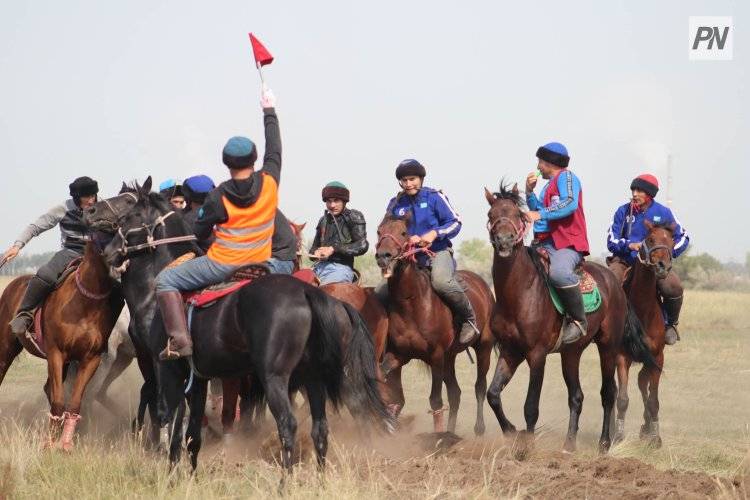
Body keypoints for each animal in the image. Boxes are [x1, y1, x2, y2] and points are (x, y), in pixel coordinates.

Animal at [0, 240, 118, 452]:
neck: (85, 302)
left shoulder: (91, 359)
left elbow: (74, 403)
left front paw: (65, 443)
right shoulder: (56, 353)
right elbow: (58, 401)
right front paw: (49, 443)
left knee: (49, 388)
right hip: (7, 348)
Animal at [86, 182, 394, 470]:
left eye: (131, 210)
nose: (110, 251)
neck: (155, 290)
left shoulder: (166, 364)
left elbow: (168, 409)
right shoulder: (192, 371)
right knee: (350, 411)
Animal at [374, 213, 496, 436]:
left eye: (403, 232)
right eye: (379, 231)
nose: (383, 256)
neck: (412, 304)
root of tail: (482, 284)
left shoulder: (436, 356)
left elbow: (436, 400)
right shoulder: (398, 355)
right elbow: (388, 385)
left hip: (483, 346)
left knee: (480, 386)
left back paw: (479, 428)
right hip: (450, 357)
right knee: (456, 393)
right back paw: (450, 432)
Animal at [484, 184, 660, 454]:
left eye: (518, 215)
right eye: (491, 215)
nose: (504, 241)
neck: (520, 292)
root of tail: (616, 284)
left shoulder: (536, 355)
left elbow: (530, 406)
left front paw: (527, 446)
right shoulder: (510, 351)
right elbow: (493, 394)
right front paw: (511, 431)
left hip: (608, 347)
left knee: (608, 393)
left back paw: (604, 443)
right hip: (571, 353)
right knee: (576, 396)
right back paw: (569, 444)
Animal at [612, 221, 672, 448]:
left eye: (671, 241)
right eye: (651, 239)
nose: (663, 266)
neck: (643, 310)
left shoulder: (657, 358)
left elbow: (654, 400)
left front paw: (655, 436)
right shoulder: (622, 357)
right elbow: (622, 399)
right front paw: (618, 436)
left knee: (642, 382)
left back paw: (646, 427)